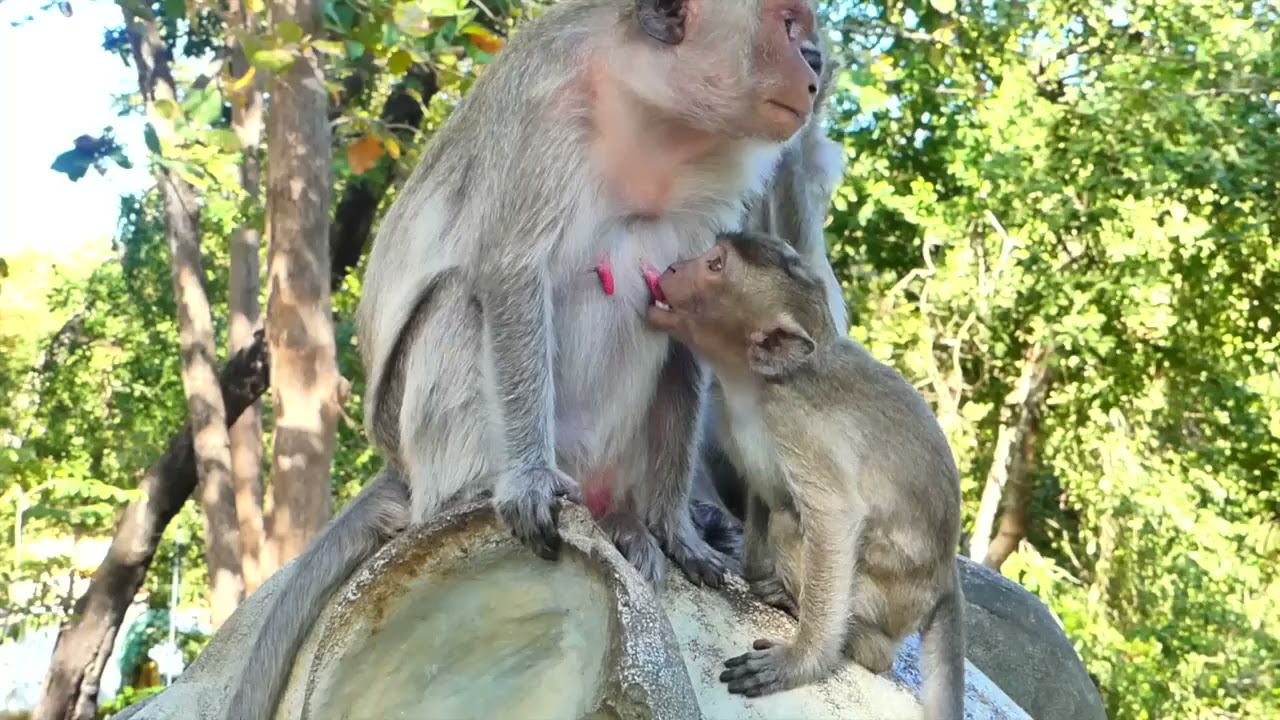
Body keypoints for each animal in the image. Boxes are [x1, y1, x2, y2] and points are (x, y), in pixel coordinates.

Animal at [224, 1, 827, 718]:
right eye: (786, 25)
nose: (814, 66)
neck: (651, 115)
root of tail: (402, 471)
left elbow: (682, 313)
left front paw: (678, 529)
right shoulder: (545, 110)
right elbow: (512, 275)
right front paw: (530, 482)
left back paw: (625, 520)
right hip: (427, 444)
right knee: (467, 300)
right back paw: (480, 489)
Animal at [646, 231, 965, 718]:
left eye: (715, 265)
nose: (674, 267)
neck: (758, 382)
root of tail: (945, 577)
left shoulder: (800, 428)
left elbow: (834, 518)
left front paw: (803, 660)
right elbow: (762, 490)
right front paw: (758, 573)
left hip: (890, 595)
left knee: (792, 527)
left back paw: (859, 644)